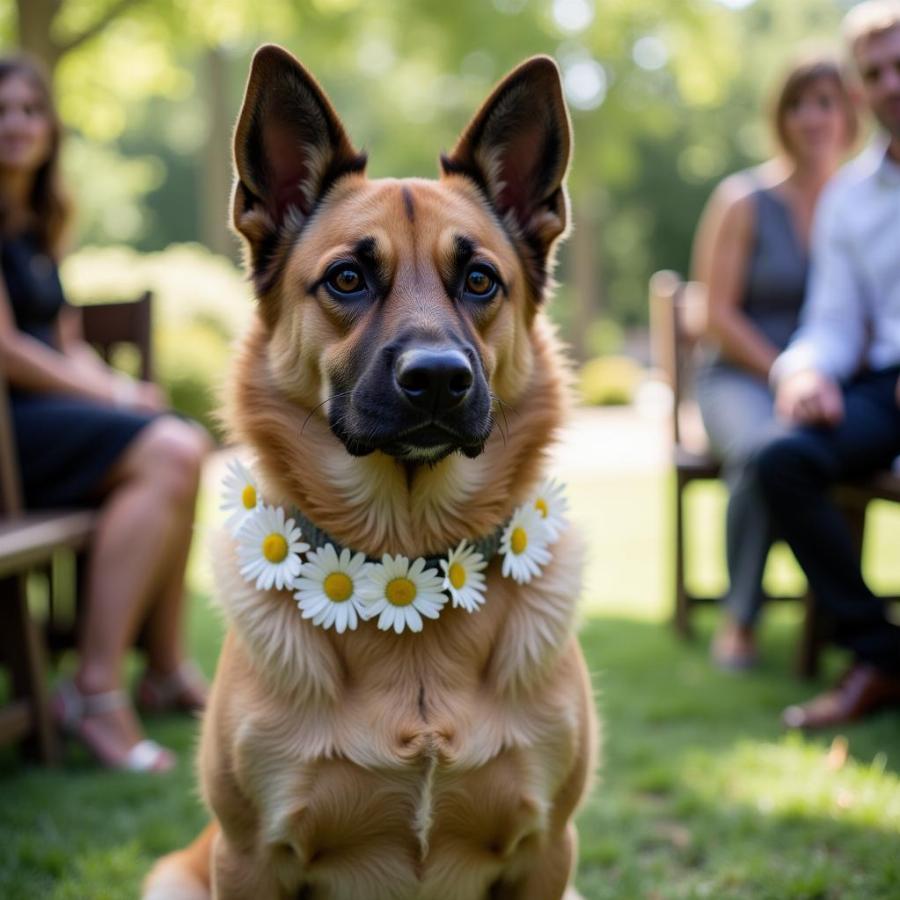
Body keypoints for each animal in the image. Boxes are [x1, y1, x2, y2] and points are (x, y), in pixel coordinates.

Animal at [144, 44, 596, 900]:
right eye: (347, 280)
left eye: (479, 280)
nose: (439, 379)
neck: (404, 554)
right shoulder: (247, 857)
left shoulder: (547, 852)